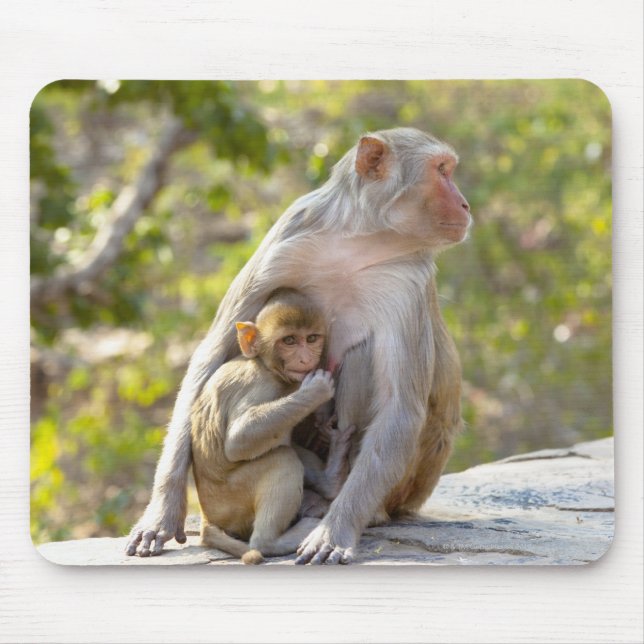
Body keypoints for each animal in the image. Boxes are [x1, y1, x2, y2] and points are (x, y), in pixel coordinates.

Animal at [188, 289, 355, 563]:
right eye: (289, 341)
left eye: (311, 338)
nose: (305, 359)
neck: (266, 366)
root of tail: (207, 517)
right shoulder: (262, 386)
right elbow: (238, 440)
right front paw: (315, 391)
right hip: (232, 501)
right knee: (282, 457)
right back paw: (272, 541)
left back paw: (331, 479)